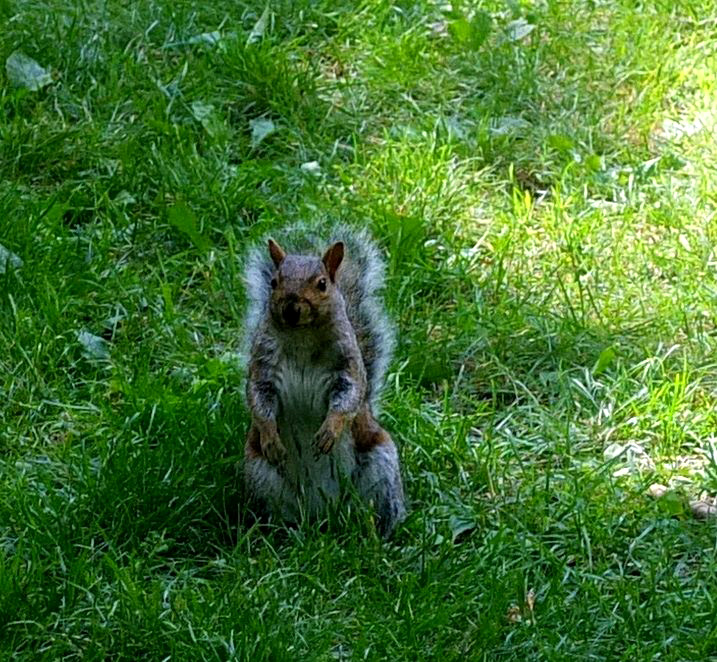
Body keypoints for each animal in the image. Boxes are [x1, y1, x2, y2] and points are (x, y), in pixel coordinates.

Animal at [242, 223, 406, 540]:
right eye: (274, 282)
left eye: (321, 284)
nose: (291, 308)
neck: (301, 337)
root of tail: (323, 514)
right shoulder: (263, 369)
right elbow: (259, 399)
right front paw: (270, 438)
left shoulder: (347, 368)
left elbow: (349, 397)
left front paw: (329, 431)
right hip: (259, 475)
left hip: (380, 467)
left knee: (376, 509)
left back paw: (378, 535)